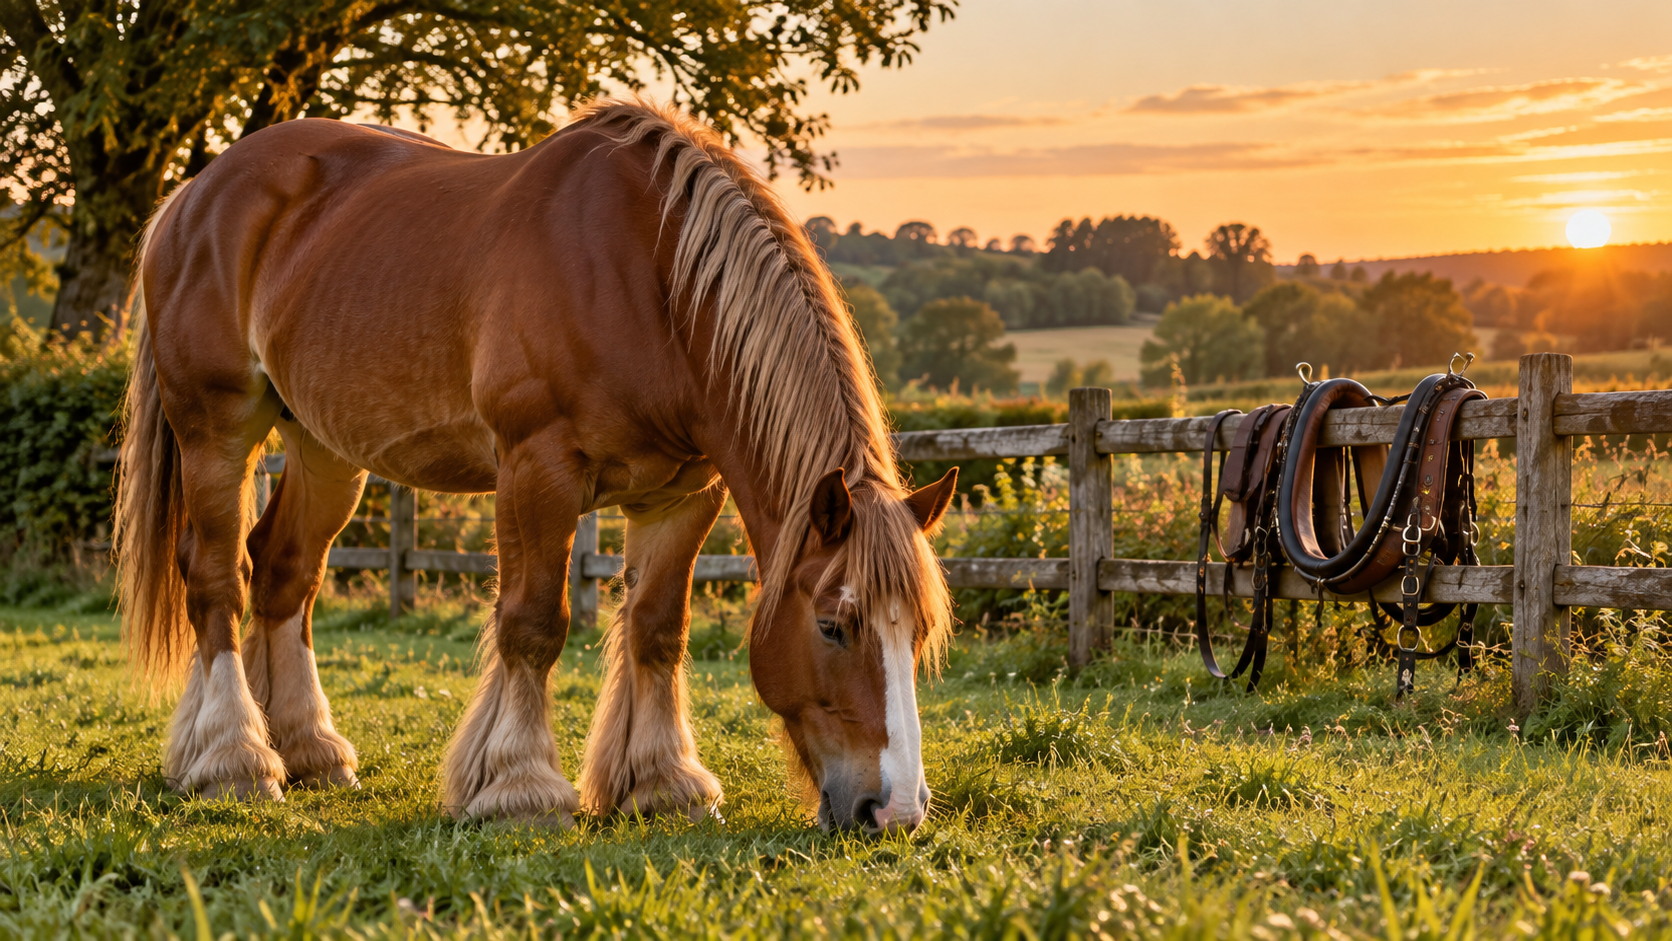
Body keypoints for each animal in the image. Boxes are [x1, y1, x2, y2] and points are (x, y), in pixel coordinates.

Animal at [113, 100, 958, 834]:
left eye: (917, 629)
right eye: (832, 625)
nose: (893, 808)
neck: (648, 275)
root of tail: (195, 193)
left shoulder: (682, 495)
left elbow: (657, 628)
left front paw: (663, 782)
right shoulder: (537, 470)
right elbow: (532, 624)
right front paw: (519, 785)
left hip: (324, 449)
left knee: (283, 573)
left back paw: (304, 749)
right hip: (216, 431)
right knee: (218, 578)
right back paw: (233, 758)